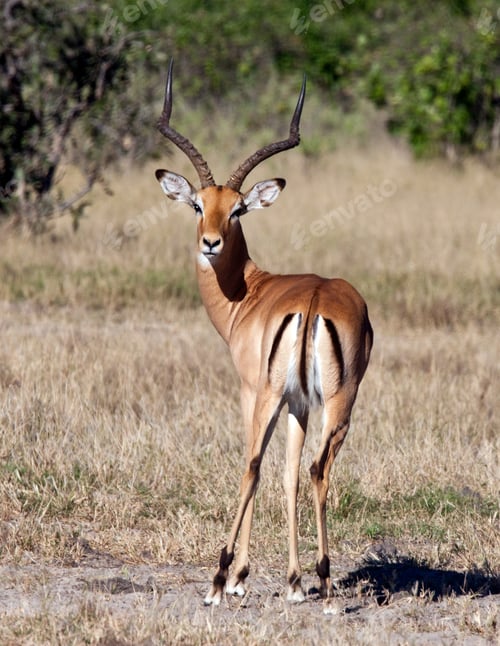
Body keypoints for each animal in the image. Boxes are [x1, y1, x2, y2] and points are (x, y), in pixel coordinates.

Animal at [155, 60, 373, 609]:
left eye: (237, 209)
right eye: (198, 205)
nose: (210, 243)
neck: (250, 292)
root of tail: (316, 298)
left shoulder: (251, 390)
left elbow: (255, 467)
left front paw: (236, 578)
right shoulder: (300, 402)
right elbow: (289, 475)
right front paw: (293, 582)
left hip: (273, 394)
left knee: (253, 465)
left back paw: (220, 581)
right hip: (339, 400)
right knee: (316, 469)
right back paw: (324, 584)